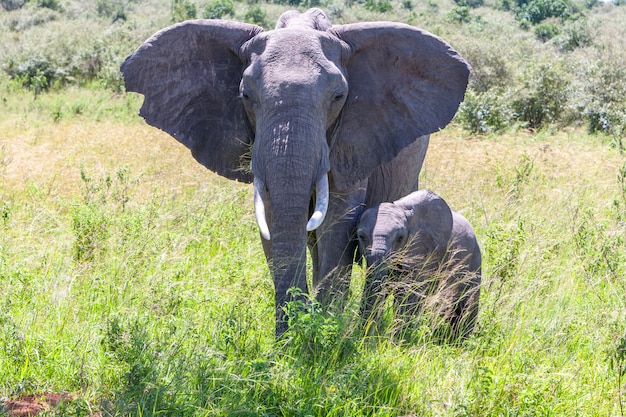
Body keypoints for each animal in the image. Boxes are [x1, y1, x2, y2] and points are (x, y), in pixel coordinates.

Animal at [119, 8, 468, 336]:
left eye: (338, 97)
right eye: (246, 95)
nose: (294, 330)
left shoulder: (353, 140)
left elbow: (336, 225)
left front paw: (322, 335)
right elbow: (274, 221)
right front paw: (292, 341)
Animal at [354, 190, 480, 340]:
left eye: (400, 238)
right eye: (361, 237)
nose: (368, 335)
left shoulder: (423, 255)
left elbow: (409, 295)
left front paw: (397, 340)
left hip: (473, 262)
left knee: (466, 307)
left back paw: (460, 341)